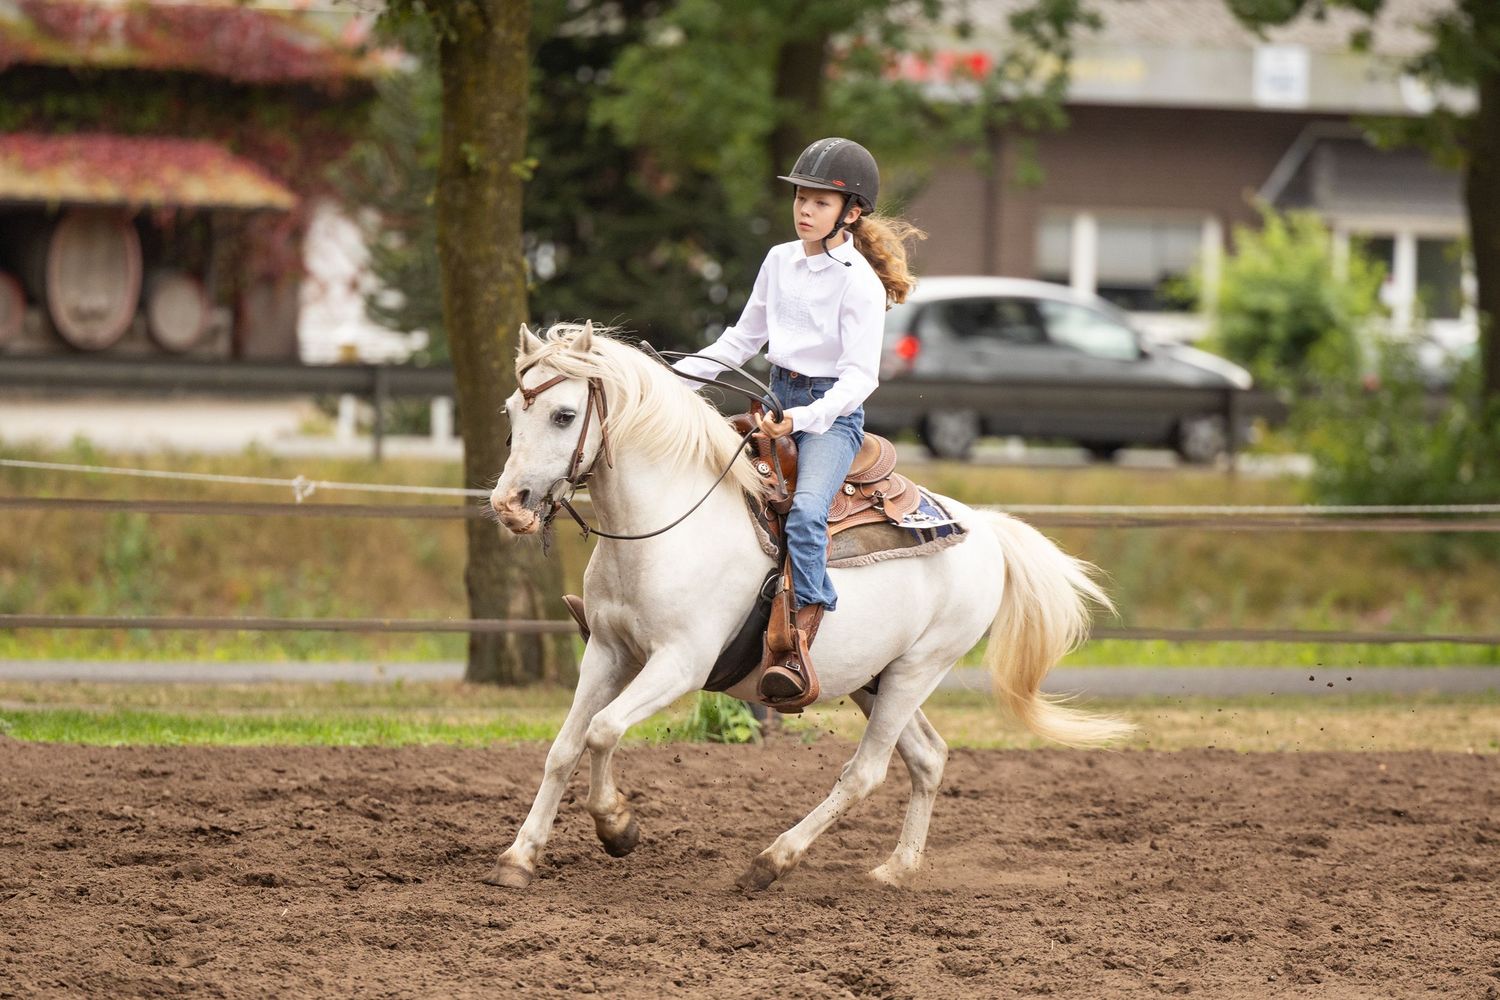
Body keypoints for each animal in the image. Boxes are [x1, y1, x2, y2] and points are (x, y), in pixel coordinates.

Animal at [486, 321, 1133, 892]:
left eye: (564, 415)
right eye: (512, 412)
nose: (508, 504)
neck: (667, 523)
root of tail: (987, 530)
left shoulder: (680, 663)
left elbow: (603, 730)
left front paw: (617, 827)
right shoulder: (607, 650)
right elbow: (565, 747)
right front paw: (520, 856)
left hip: (917, 670)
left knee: (866, 772)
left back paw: (772, 861)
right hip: (876, 677)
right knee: (928, 757)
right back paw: (897, 869)